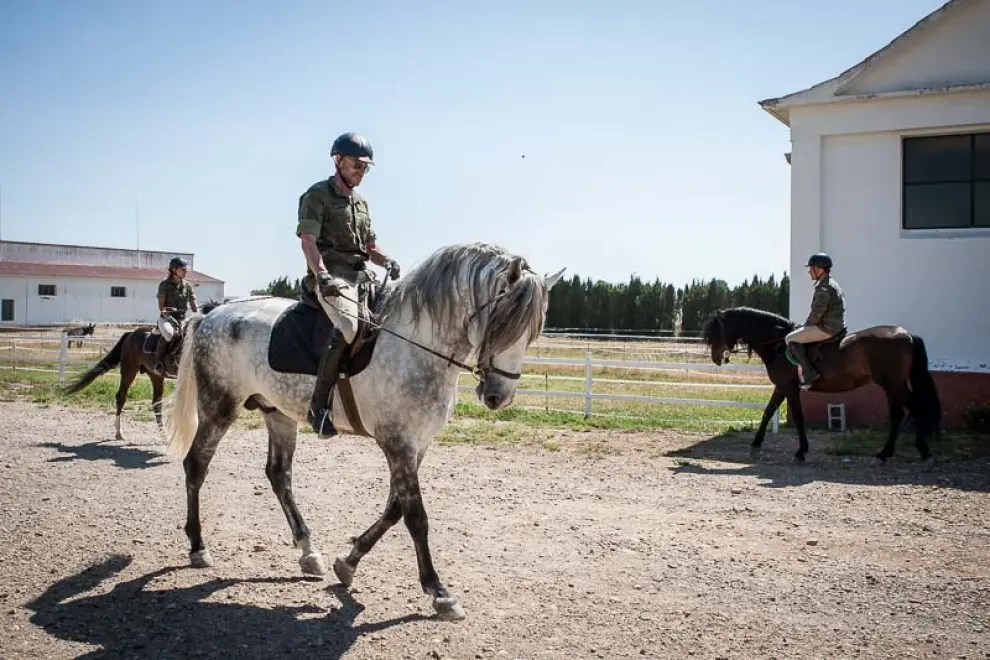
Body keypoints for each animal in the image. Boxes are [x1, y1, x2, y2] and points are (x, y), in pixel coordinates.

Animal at [60, 302, 223, 440]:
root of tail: (131, 334)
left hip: (156, 376)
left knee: (156, 402)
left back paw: (163, 435)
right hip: (129, 371)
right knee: (121, 397)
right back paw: (119, 433)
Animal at [164, 242, 564, 620]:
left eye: (532, 333)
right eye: (501, 324)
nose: (499, 396)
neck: (418, 346)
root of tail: (214, 313)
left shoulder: (416, 445)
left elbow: (395, 509)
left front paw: (349, 562)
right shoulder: (397, 442)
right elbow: (416, 517)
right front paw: (439, 592)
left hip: (278, 413)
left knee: (279, 476)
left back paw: (309, 553)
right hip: (219, 406)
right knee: (196, 466)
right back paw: (198, 547)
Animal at [700, 308, 940, 466]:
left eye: (716, 332)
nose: (716, 359)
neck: (777, 344)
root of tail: (906, 333)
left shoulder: (790, 388)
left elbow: (798, 416)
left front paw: (801, 451)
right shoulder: (781, 387)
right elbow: (768, 412)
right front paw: (756, 444)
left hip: (892, 385)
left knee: (913, 408)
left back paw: (919, 450)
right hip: (892, 386)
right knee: (900, 413)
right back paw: (889, 452)